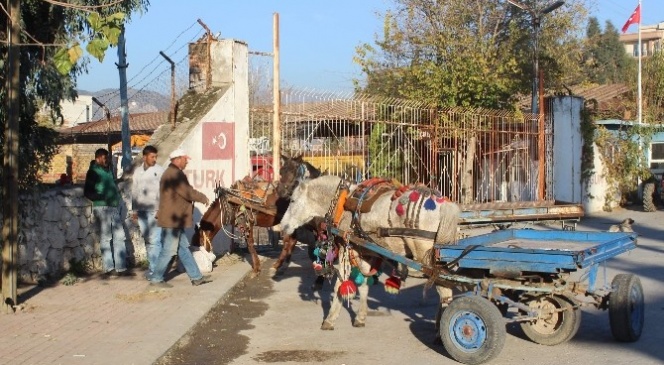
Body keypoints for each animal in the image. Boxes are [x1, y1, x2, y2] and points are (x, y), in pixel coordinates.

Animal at [191, 154, 320, 276]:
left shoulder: (248, 222)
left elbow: (250, 244)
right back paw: (282, 265)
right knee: (293, 240)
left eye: (198, 242)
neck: (231, 202)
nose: (200, 265)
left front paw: (256, 269)